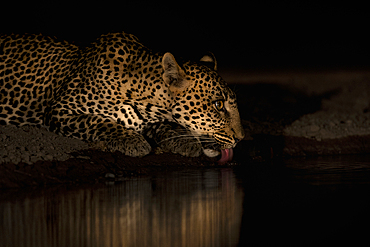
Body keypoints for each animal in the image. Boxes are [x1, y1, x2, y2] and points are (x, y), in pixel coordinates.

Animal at [0, 31, 246, 162]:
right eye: (218, 105)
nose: (241, 138)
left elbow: (163, 124)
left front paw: (182, 140)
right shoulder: (59, 110)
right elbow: (97, 121)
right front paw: (133, 142)